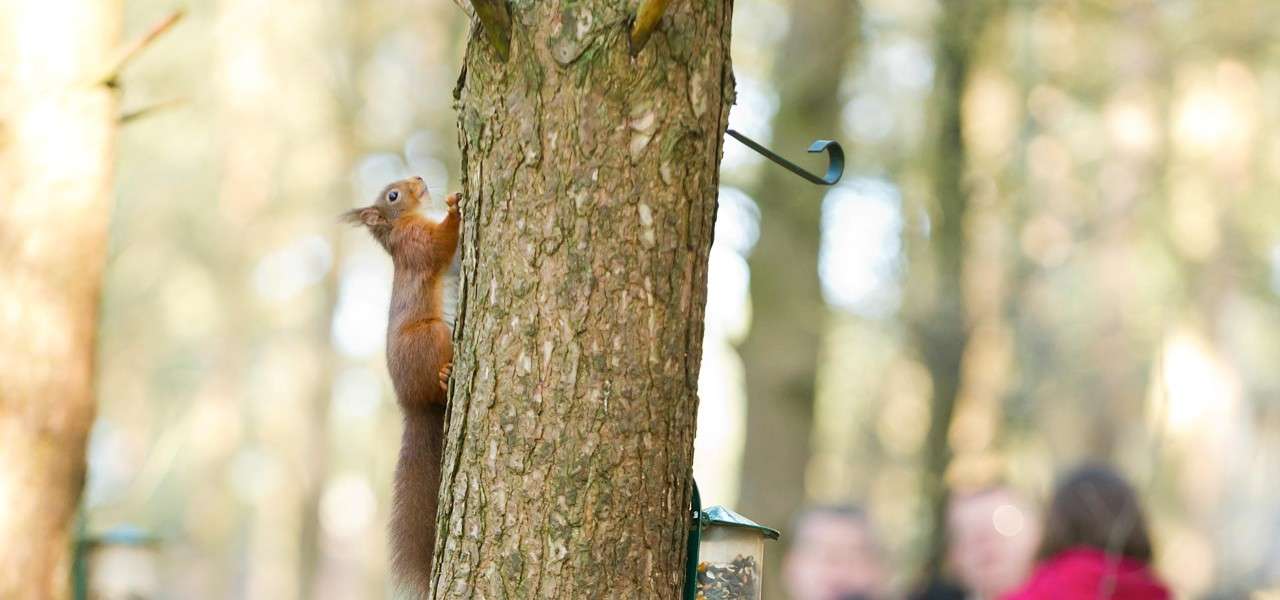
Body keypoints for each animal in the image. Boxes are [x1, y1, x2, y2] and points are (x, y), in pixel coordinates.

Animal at [343, 173, 458, 593]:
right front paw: (456, 206)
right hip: (433, 335)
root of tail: (410, 403)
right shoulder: (415, 243)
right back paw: (445, 376)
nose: (420, 178)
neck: (399, 227)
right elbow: (440, 246)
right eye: (393, 195)